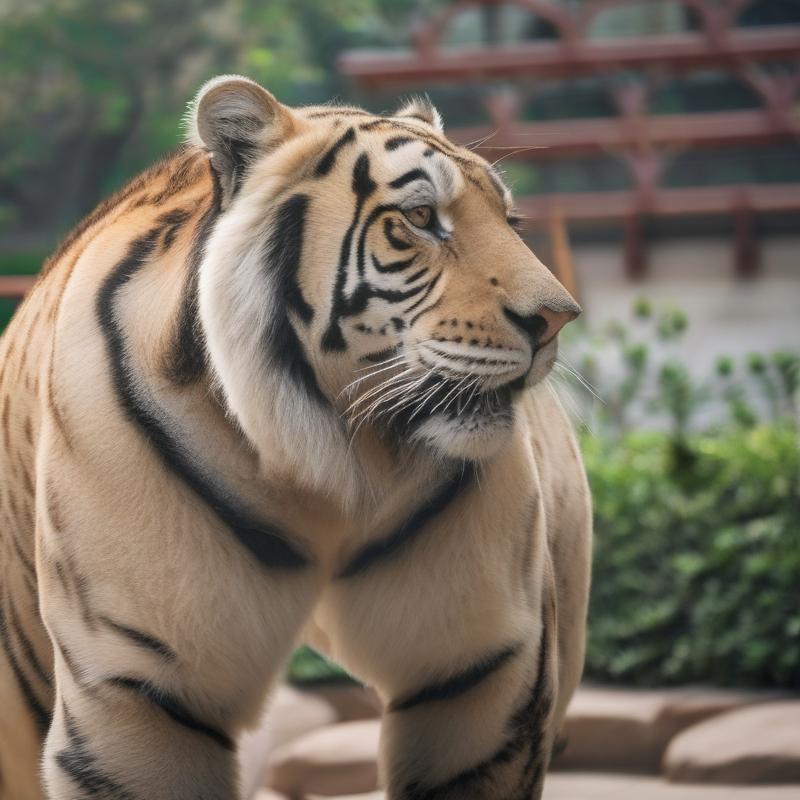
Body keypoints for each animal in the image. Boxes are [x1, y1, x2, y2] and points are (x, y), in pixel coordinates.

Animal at [0, 73, 592, 792]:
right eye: (422, 218)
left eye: (511, 222)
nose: (558, 318)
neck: (329, 469)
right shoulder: (138, 682)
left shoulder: (482, 666)